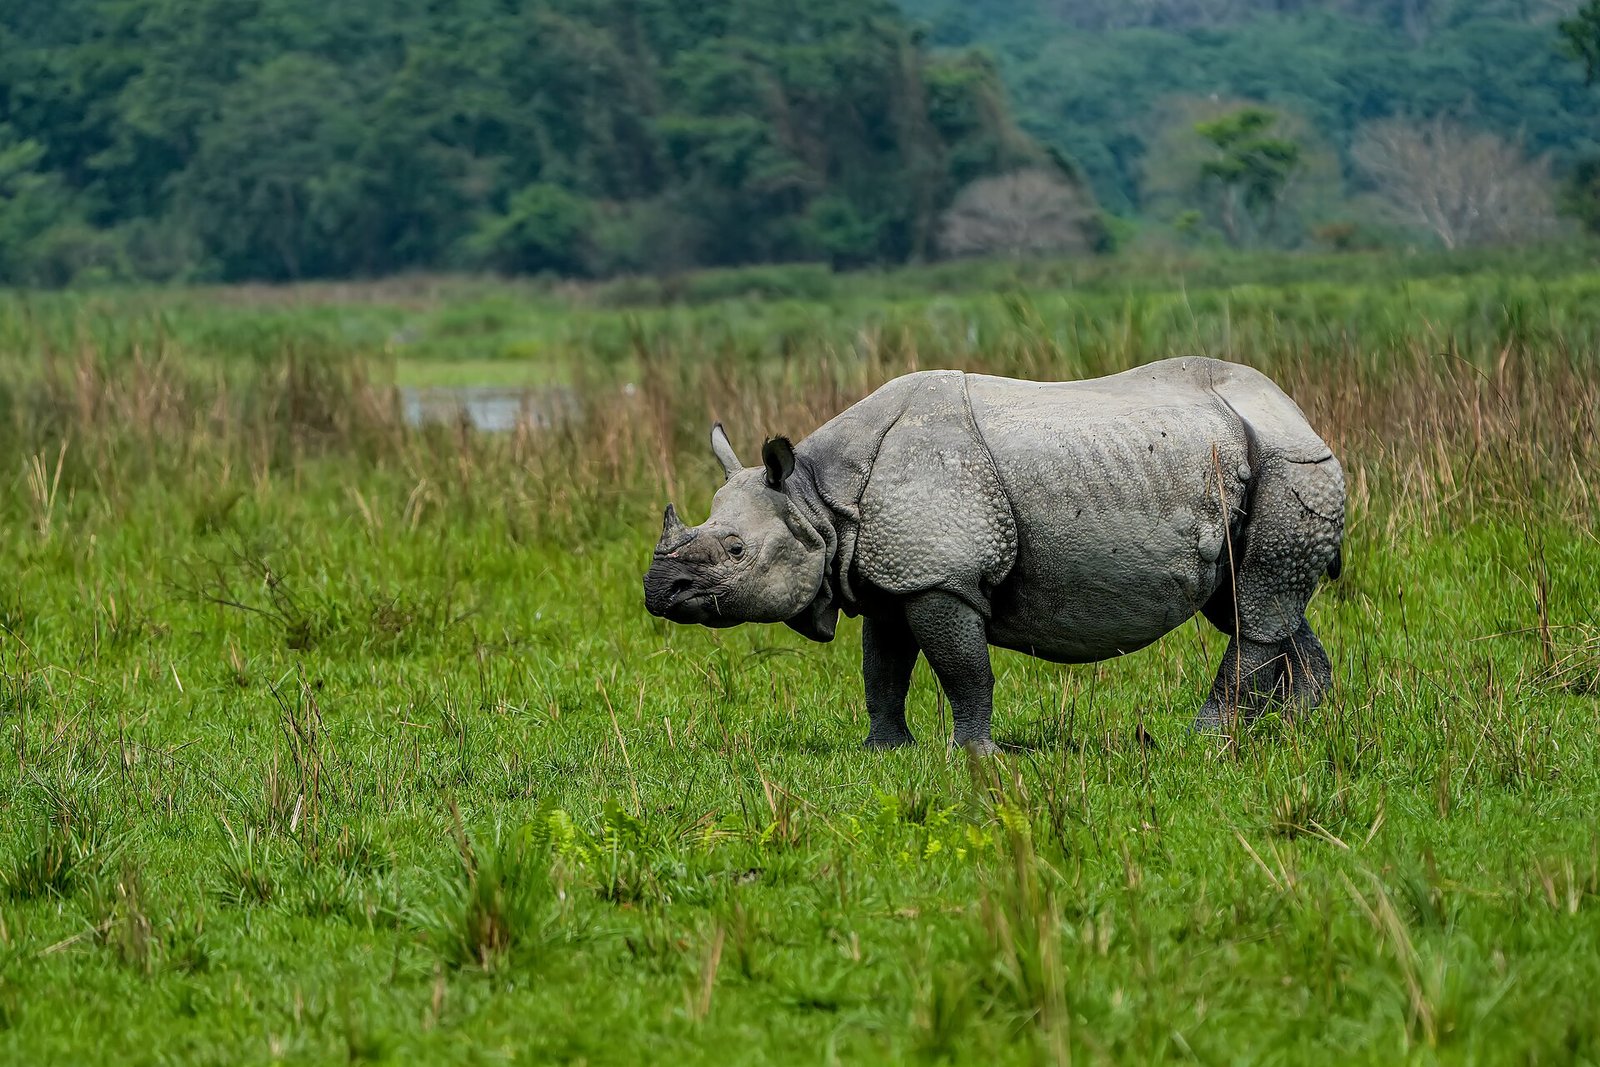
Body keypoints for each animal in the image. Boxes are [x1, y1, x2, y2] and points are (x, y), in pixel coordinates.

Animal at [643, 357, 1344, 752]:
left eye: (736, 550)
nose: (657, 590)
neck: (817, 497)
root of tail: (1301, 416)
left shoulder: (939, 576)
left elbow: (963, 670)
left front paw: (973, 754)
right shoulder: (890, 578)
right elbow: (882, 670)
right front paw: (884, 751)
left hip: (1291, 466)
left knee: (1255, 607)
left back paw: (1204, 738)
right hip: (1253, 463)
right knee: (1254, 602)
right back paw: (1297, 726)